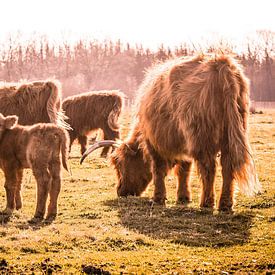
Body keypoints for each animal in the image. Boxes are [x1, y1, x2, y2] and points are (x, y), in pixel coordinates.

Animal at [81, 54, 260, 213]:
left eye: (120, 165)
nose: (121, 192)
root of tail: (221, 64)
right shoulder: (182, 143)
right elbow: (184, 170)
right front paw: (183, 197)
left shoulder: (154, 141)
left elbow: (158, 169)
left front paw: (158, 198)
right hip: (232, 134)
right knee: (228, 166)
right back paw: (225, 204)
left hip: (202, 137)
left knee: (209, 168)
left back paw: (207, 203)